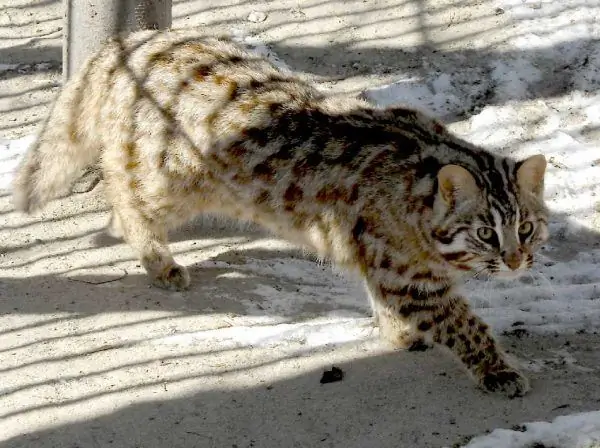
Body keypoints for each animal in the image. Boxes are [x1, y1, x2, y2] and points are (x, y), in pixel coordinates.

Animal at [14, 27, 548, 396]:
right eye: (484, 233)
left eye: (525, 227)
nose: (516, 262)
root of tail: (133, 40)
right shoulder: (408, 274)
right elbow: (463, 322)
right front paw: (497, 369)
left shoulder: (381, 256)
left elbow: (386, 296)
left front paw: (398, 332)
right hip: (175, 177)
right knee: (125, 191)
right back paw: (156, 257)